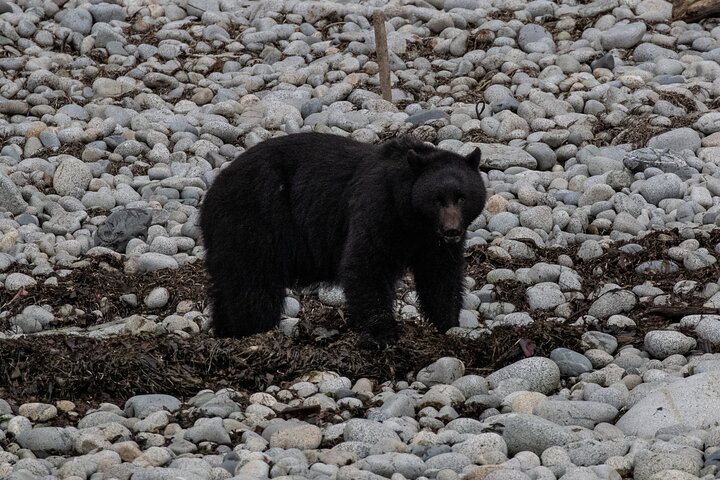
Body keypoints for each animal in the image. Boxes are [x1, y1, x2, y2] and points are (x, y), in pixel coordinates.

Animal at [200, 132, 486, 348]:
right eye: (437, 199)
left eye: (461, 197)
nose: (452, 231)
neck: (412, 219)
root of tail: (213, 191)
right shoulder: (378, 208)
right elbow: (366, 265)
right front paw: (383, 333)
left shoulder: (431, 243)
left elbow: (440, 276)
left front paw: (448, 324)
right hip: (254, 221)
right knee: (253, 286)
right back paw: (249, 331)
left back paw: (225, 329)